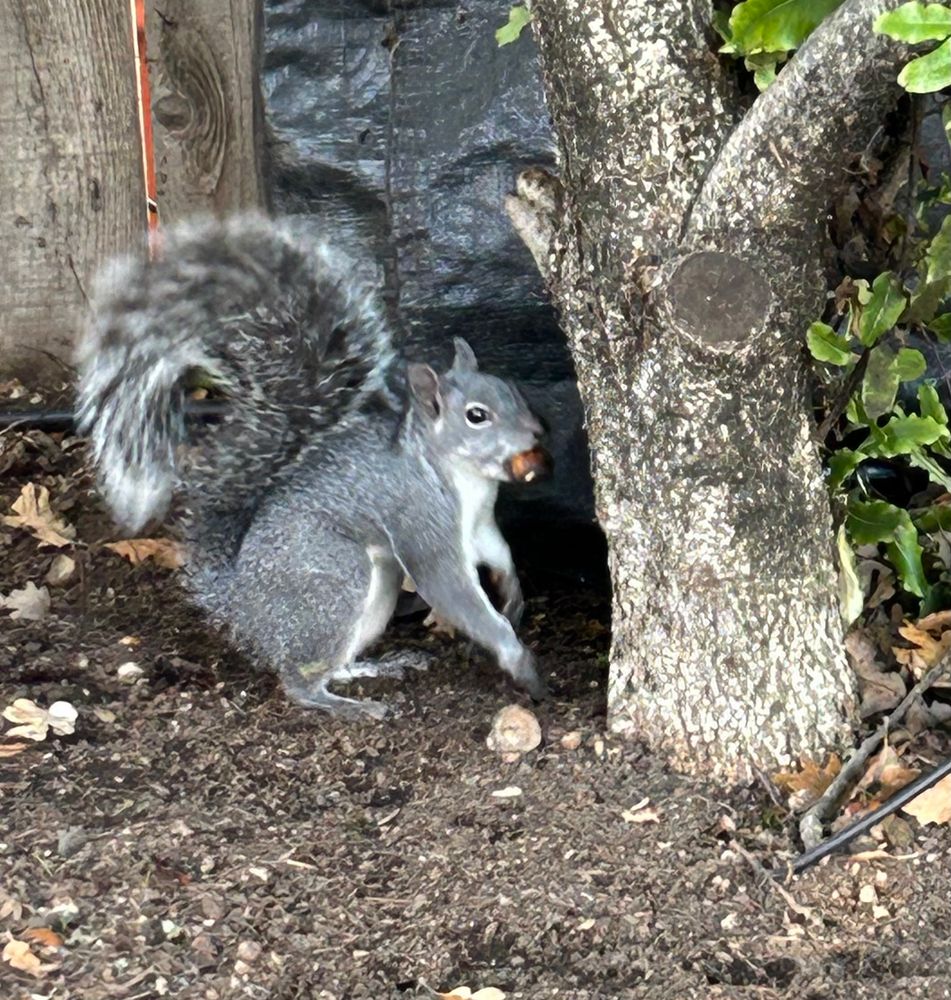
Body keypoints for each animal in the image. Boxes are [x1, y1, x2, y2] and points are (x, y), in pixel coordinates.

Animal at [76, 214, 552, 717]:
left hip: (374, 594)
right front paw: (516, 655)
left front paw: (512, 591)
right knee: (298, 680)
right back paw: (350, 706)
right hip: (334, 578)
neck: (465, 478)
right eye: (476, 416)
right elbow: (450, 589)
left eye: (510, 388)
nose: (537, 431)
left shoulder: (480, 522)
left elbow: (498, 551)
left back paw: (375, 668)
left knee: (333, 662)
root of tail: (238, 604)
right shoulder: (419, 518)